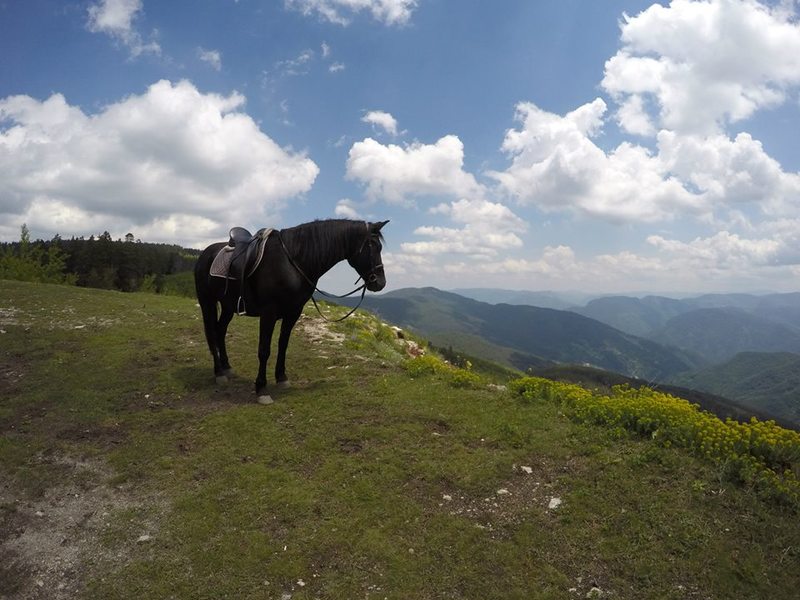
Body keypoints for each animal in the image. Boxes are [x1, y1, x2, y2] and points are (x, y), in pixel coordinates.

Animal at [197, 219, 390, 404]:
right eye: (373, 246)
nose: (380, 282)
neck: (292, 262)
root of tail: (206, 253)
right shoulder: (268, 312)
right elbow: (264, 350)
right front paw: (261, 389)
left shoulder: (293, 312)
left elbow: (283, 344)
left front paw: (282, 378)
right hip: (207, 302)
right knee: (212, 333)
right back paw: (219, 373)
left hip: (228, 306)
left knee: (220, 331)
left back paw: (226, 367)